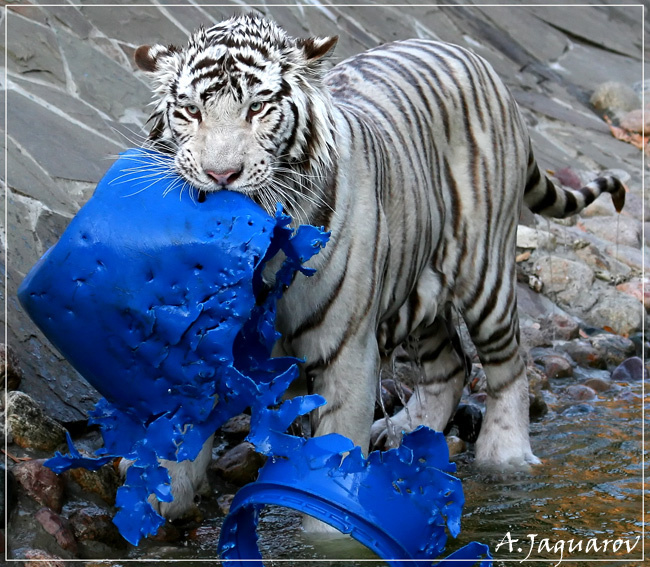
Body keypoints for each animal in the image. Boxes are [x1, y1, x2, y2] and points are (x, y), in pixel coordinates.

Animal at [133, 13, 625, 521]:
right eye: (191, 111)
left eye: (257, 109)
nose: (221, 175)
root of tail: (471, 57)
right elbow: (177, 440)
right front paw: (158, 502)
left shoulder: (345, 354)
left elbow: (333, 466)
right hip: (418, 284)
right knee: (451, 364)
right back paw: (404, 435)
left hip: (484, 273)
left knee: (508, 363)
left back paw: (503, 457)